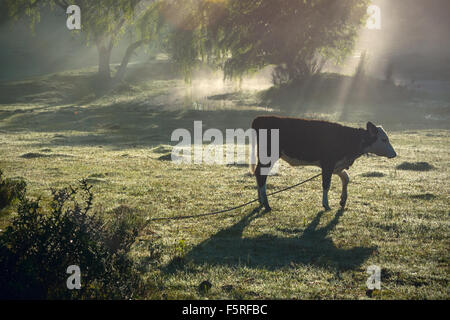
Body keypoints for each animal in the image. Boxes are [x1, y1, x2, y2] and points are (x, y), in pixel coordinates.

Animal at [250, 116, 398, 211]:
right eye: (384, 139)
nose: (394, 154)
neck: (349, 139)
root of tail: (260, 119)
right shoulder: (328, 164)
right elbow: (326, 184)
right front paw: (326, 204)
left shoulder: (337, 165)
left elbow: (346, 178)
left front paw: (343, 200)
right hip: (270, 155)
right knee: (261, 176)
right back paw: (266, 204)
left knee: (258, 173)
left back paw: (260, 200)